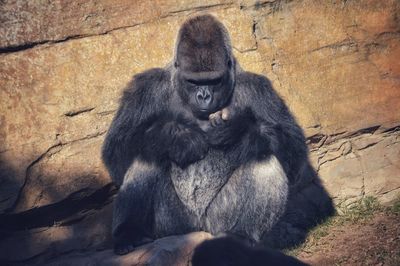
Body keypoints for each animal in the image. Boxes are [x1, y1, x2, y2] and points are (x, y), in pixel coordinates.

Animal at [101, 15, 308, 256]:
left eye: (213, 80)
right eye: (194, 81)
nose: (204, 96)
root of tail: (199, 230)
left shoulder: (259, 89)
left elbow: (293, 151)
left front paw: (237, 130)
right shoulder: (145, 88)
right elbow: (117, 151)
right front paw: (175, 136)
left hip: (216, 223)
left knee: (264, 156)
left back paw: (241, 236)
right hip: (173, 227)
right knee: (147, 152)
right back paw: (130, 233)